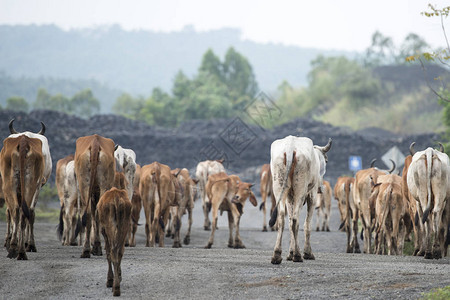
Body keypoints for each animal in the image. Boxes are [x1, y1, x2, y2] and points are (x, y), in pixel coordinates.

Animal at [0, 120, 49, 260]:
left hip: (11, 182)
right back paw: (20, 250)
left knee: (16, 210)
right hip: (29, 183)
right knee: (22, 211)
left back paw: (16, 248)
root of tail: (23, 141)